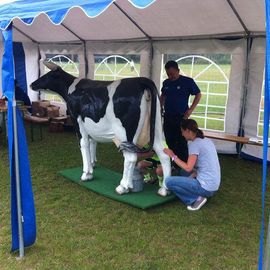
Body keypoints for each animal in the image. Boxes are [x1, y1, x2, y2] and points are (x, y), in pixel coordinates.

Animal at [31, 61, 171, 196]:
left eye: (46, 75)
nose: (32, 84)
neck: (71, 89)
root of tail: (141, 80)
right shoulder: (91, 126)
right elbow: (93, 142)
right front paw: (93, 164)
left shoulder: (78, 122)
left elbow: (84, 144)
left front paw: (87, 173)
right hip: (157, 128)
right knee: (164, 153)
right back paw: (164, 190)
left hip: (126, 134)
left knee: (131, 158)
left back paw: (123, 187)